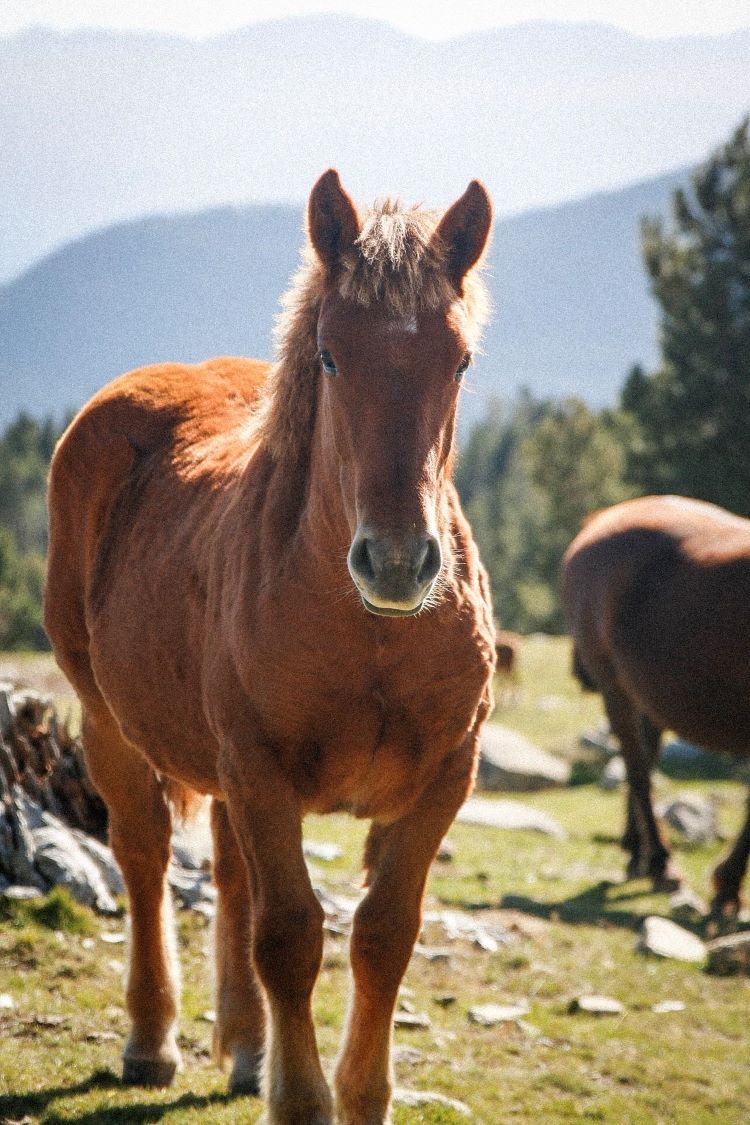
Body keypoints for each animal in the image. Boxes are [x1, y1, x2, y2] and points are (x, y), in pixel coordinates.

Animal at [44, 170, 496, 1124]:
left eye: (460, 361)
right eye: (329, 356)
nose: (396, 559)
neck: (372, 636)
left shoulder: (444, 778)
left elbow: (384, 935)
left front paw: (361, 1094)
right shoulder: (260, 767)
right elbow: (289, 935)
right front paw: (298, 1097)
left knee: (227, 871)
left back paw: (246, 1047)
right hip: (109, 720)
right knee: (144, 853)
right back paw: (152, 1040)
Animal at [562, 494, 750, 914]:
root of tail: (606, 517)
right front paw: (727, 887)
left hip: (646, 691)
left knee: (643, 759)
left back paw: (638, 852)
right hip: (614, 686)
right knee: (637, 770)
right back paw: (659, 862)